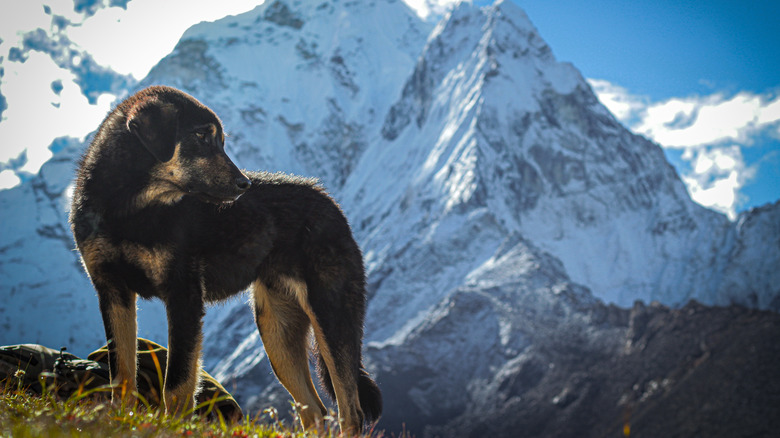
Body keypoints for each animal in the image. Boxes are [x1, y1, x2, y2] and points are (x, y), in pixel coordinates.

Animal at [70, 86, 380, 434]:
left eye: (220, 140)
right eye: (201, 136)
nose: (245, 184)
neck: (129, 209)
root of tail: (329, 202)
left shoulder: (183, 295)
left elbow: (177, 383)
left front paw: (173, 427)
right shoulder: (112, 291)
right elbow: (121, 374)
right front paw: (119, 419)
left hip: (330, 316)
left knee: (350, 411)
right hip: (277, 332)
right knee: (314, 411)